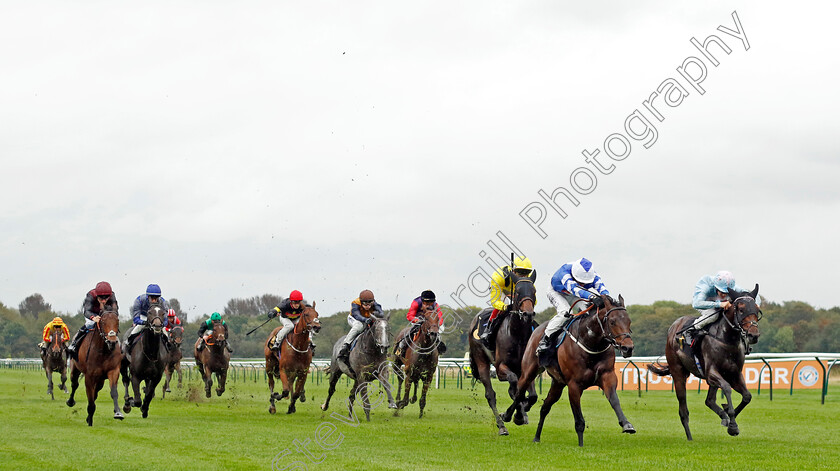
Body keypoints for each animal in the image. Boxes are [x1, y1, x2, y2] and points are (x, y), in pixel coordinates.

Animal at [466, 272, 540, 436]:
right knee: (490, 395)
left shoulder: (528, 368)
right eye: (517, 292)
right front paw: (510, 415)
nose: (528, 314)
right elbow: (514, 385)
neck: (518, 335)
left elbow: (531, 396)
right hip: (481, 361)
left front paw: (521, 413)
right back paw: (502, 426)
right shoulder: (500, 368)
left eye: (534, 291)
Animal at [502, 296, 632, 446]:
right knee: (519, 393)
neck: (590, 343)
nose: (628, 348)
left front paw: (626, 424)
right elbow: (579, 421)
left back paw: (536, 437)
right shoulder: (574, 385)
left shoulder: (608, 376)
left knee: (544, 408)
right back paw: (511, 416)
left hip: (558, 383)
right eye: (612, 321)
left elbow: (614, 400)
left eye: (629, 321)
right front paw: (581, 446)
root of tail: (537, 328)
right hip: (529, 371)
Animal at [648, 284, 760, 442]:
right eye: (741, 309)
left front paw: (729, 417)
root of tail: (674, 326)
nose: (753, 335)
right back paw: (690, 437)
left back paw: (723, 416)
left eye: (756, 309)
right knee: (683, 410)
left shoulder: (734, 374)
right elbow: (727, 388)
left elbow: (747, 396)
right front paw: (732, 424)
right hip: (678, 373)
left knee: (709, 401)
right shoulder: (711, 373)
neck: (726, 340)